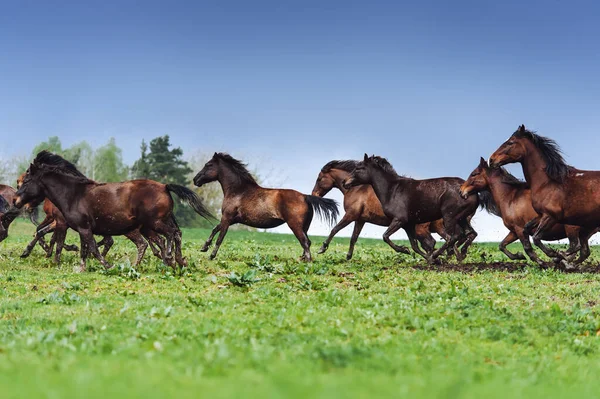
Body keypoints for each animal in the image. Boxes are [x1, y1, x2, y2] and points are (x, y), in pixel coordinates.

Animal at [12, 151, 213, 272]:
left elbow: (90, 248)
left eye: (26, 180)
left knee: (170, 235)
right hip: (151, 225)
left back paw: (170, 258)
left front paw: (107, 265)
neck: (73, 194)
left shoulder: (79, 227)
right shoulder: (81, 228)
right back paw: (177, 261)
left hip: (154, 223)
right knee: (170, 236)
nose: (15, 200)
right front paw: (81, 267)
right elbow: (84, 249)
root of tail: (165, 186)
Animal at [192, 153, 338, 262]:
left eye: (208, 165)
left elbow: (220, 237)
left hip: (295, 225)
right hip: (304, 227)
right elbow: (214, 229)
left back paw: (307, 261)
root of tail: (305, 196)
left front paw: (211, 255)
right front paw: (204, 248)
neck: (238, 191)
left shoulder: (227, 218)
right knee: (307, 242)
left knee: (305, 242)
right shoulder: (232, 219)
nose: (195, 180)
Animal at [312, 161, 472, 260]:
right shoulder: (360, 219)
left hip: (423, 228)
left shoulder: (351, 215)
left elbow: (335, 229)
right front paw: (348, 256)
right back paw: (452, 257)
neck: (357, 189)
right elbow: (353, 238)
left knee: (436, 241)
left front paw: (322, 248)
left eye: (319, 178)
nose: (314, 194)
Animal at [460, 159, 596, 266]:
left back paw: (561, 261)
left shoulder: (520, 229)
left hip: (571, 229)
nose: (461, 191)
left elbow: (528, 248)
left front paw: (541, 263)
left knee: (576, 247)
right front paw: (518, 256)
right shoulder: (514, 231)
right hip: (584, 233)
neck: (510, 197)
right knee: (583, 251)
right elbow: (502, 245)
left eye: (474, 174)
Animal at [490, 125, 600, 268]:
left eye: (510, 142)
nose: (491, 160)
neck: (547, 182)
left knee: (578, 247)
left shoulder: (550, 216)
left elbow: (537, 238)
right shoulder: (541, 215)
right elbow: (527, 230)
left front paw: (555, 255)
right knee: (583, 250)